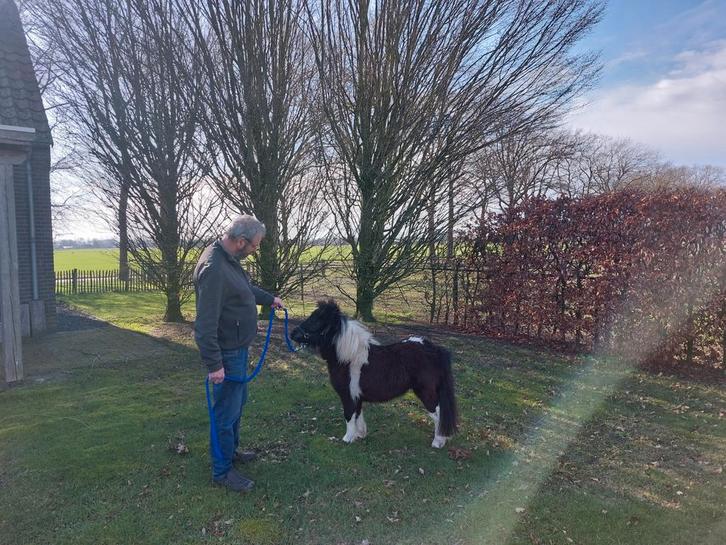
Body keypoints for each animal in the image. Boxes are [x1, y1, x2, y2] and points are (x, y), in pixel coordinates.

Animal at [290, 300, 458, 448]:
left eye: (316, 321)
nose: (292, 333)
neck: (349, 358)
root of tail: (435, 350)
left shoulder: (348, 395)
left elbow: (349, 415)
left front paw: (347, 439)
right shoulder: (356, 396)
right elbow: (358, 415)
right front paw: (359, 435)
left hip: (426, 392)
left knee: (439, 414)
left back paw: (438, 442)